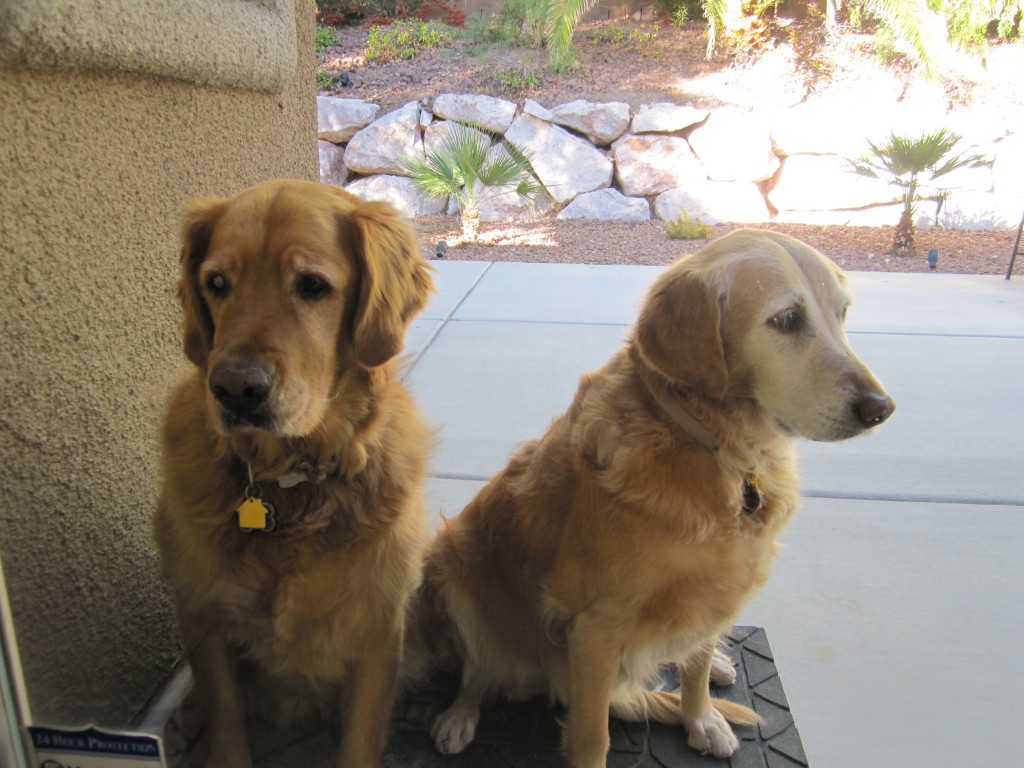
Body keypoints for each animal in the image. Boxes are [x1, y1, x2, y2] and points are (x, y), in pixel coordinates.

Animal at [153, 180, 434, 768]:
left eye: (312, 286)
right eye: (217, 283)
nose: (236, 389)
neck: (289, 482)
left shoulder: (378, 627)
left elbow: (361, 739)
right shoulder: (204, 618)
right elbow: (226, 720)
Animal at [415, 230, 897, 768]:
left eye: (843, 312)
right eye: (786, 319)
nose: (881, 409)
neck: (720, 451)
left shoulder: (713, 595)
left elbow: (695, 669)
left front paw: (702, 719)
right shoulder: (595, 630)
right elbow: (593, 736)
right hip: (454, 567)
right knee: (477, 671)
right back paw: (458, 717)